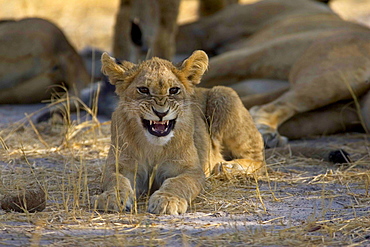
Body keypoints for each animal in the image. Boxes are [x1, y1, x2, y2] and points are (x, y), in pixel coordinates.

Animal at [92, 50, 266, 214]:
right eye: (143, 90)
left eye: (174, 90)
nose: (161, 113)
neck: (154, 147)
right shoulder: (119, 165)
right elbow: (116, 180)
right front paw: (112, 197)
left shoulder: (192, 170)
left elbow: (178, 183)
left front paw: (168, 200)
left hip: (223, 94)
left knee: (258, 160)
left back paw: (229, 167)